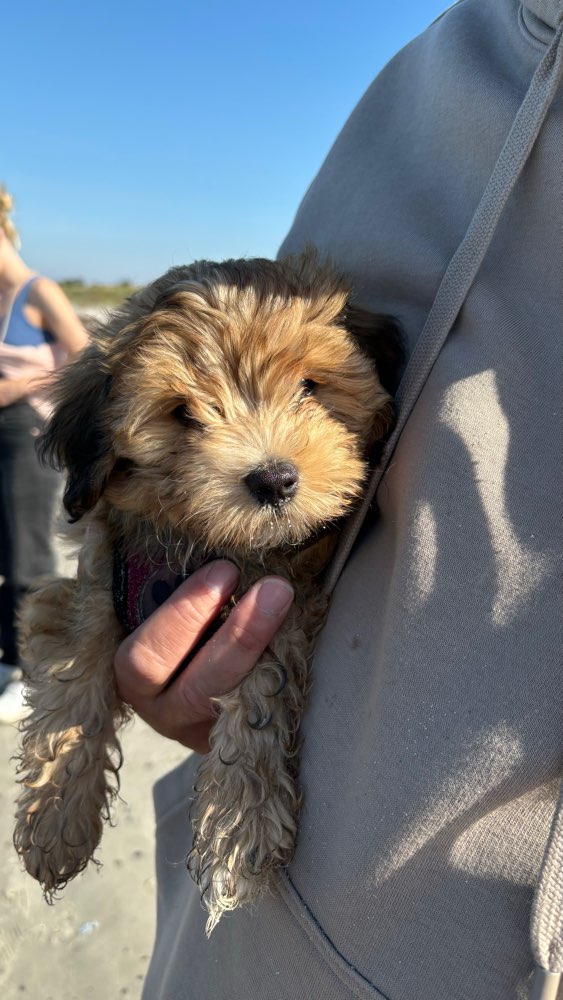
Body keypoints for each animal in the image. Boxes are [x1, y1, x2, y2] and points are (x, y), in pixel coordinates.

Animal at [13, 250, 400, 928]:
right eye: (183, 413)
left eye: (310, 387)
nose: (274, 479)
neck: (202, 541)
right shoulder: (97, 570)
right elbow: (79, 655)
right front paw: (55, 815)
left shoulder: (282, 594)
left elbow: (264, 683)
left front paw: (241, 824)